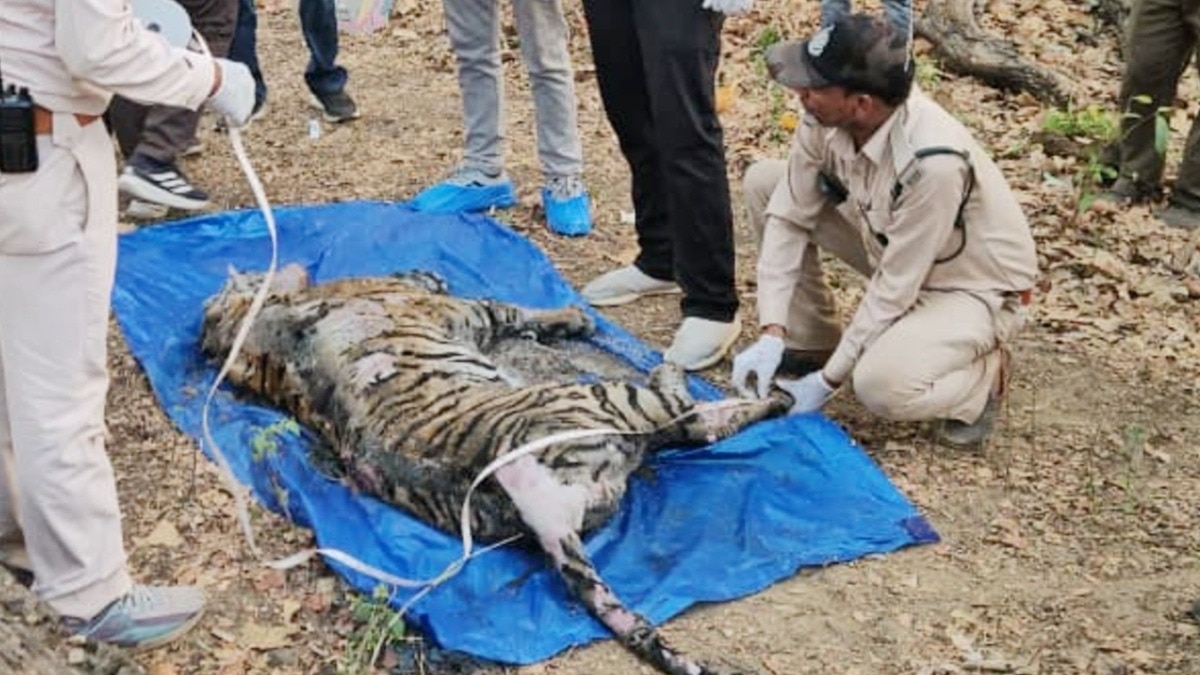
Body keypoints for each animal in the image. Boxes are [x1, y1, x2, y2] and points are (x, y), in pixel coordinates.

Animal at [201, 263, 791, 675]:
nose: (433, 270)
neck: (259, 337)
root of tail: (540, 509)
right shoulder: (465, 311)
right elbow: (512, 308)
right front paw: (570, 317)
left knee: (694, 426)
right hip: (610, 401)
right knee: (691, 418)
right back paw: (728, 385)